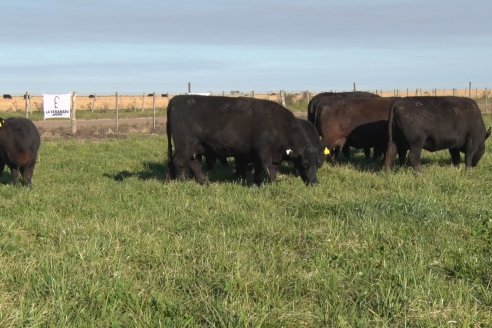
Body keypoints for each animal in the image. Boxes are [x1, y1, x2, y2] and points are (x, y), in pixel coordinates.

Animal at [167, 95, 320, 184]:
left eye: (317, 164)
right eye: (305, 164)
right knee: (179, 162)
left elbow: (263, 169)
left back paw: (205, 183)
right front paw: (273, 184)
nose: (314, 182)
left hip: (196, 147)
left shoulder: (269, 155)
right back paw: (182, 183)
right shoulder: (264, 151)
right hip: (184, 145)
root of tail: (175, 99)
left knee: (195, 164)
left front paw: (257, 184)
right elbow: (268, 168)